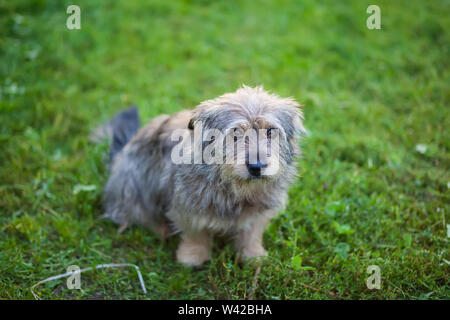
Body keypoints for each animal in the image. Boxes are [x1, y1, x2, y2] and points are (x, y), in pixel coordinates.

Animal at [95, 85, 306, 268]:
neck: (233, 188)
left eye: (270, 131)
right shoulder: (187, 206)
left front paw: (253, 255)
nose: (257, 166)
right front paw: (193, 256)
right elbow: (196, 234)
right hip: (133, 185)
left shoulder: (260, 210)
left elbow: (251, 233)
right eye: (235, 133)